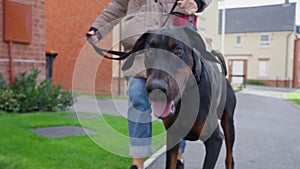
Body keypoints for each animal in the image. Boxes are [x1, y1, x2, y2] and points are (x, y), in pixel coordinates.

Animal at [122, 26, 237, 169]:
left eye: (178, 51)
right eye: (149, 51)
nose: (155, 88)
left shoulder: (214, 140)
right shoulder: (172, 136)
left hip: (228, 123)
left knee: (229, 157)